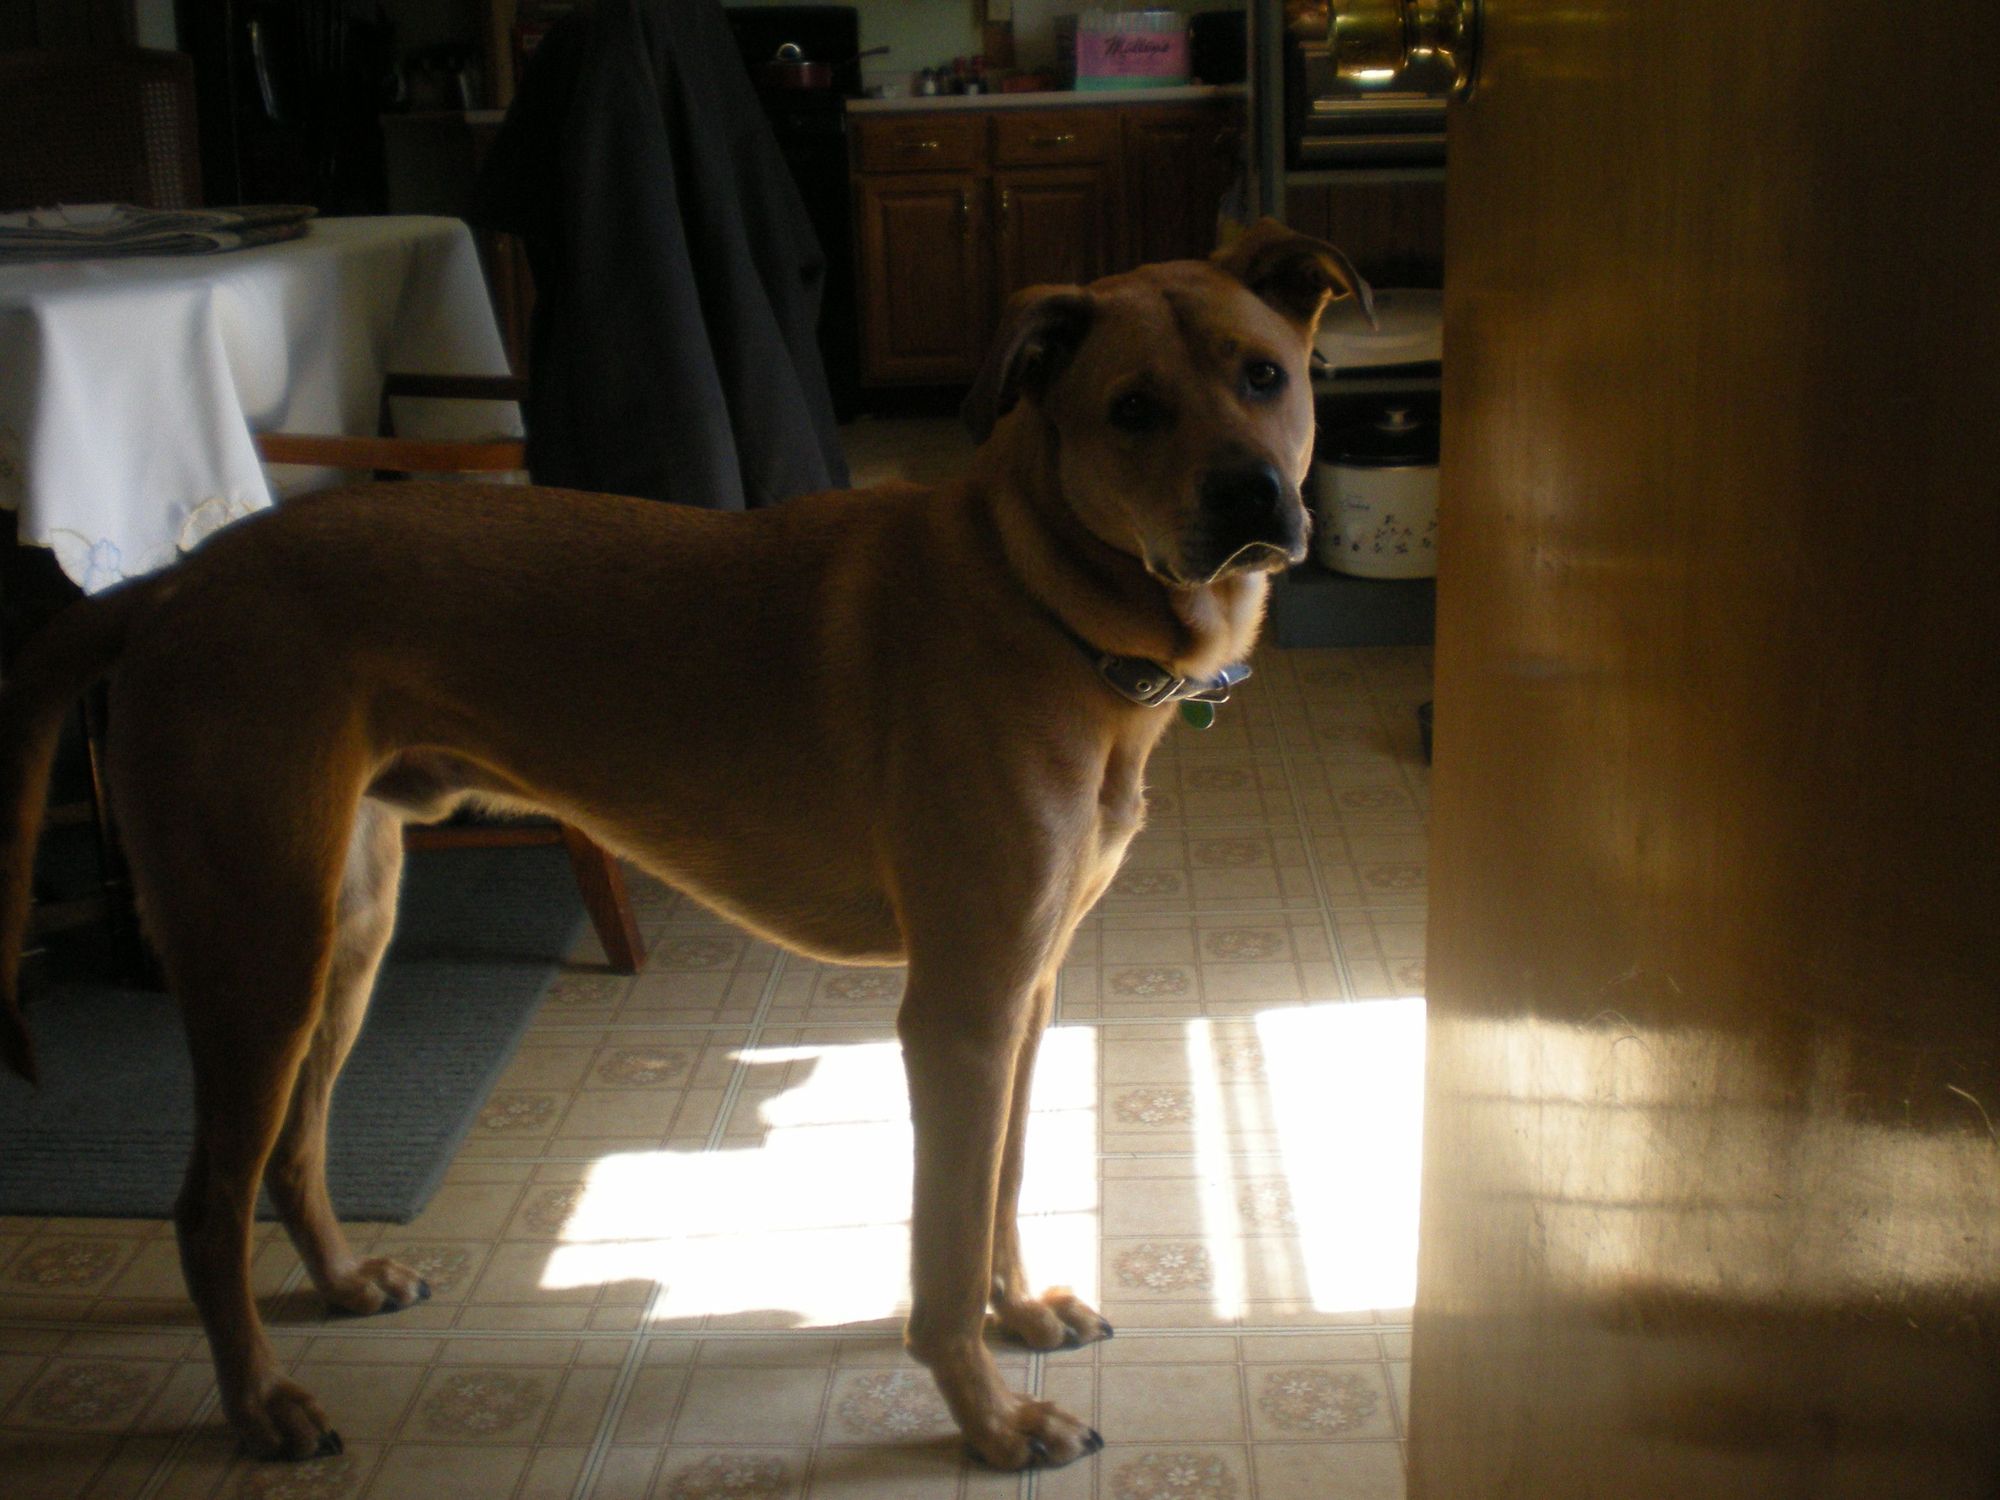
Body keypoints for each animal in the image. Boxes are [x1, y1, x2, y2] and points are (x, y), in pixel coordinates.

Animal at [0, 219, 1366, 1470]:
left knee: (292, 1154)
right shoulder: (959, 1010)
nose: (1252, 496)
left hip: (346, 927)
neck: (1040, 598)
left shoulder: (1025, 994)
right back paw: (257, 1402)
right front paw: (986, 1416)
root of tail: (173, 584)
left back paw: (339, 1284)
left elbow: (1003, 1188)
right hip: (259, 950)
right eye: (1131, 409)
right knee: (204, 1206)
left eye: (1263, 375)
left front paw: (1018, 1309)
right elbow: (937, 1248)